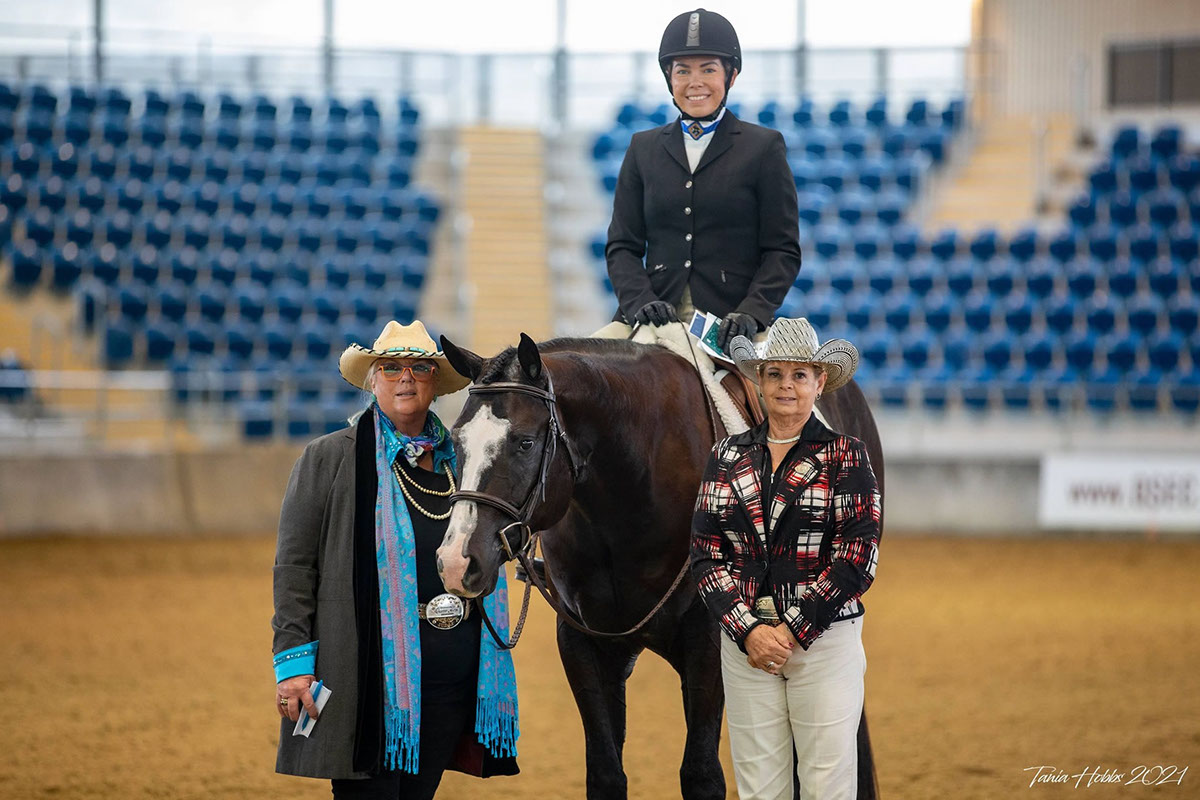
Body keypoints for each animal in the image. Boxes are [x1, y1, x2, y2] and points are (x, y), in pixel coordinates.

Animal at [435, 333, 885, 800]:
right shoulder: (582, 643)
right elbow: (606, 773)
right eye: (457, 441)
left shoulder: (710, 640)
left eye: (524, 442)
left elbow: (701, 774)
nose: (456, 561)